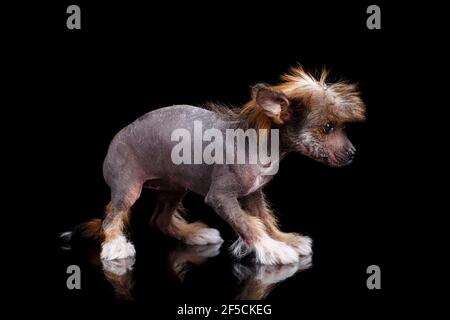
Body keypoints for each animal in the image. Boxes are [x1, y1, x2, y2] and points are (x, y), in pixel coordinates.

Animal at [67, 65, 366, 264]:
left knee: (159, 219)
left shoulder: (253, 194)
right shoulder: (221, 197)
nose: (353, 154)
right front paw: (273, 249)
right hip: (128, 188)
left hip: (174, 187)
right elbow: (248, 224)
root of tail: (114, 140)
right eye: (328, 128)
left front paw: (283, 239)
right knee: (111, 218)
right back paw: (115, 247)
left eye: (341, 127)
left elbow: (264, 219)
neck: (258, 140)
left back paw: (194, 235)